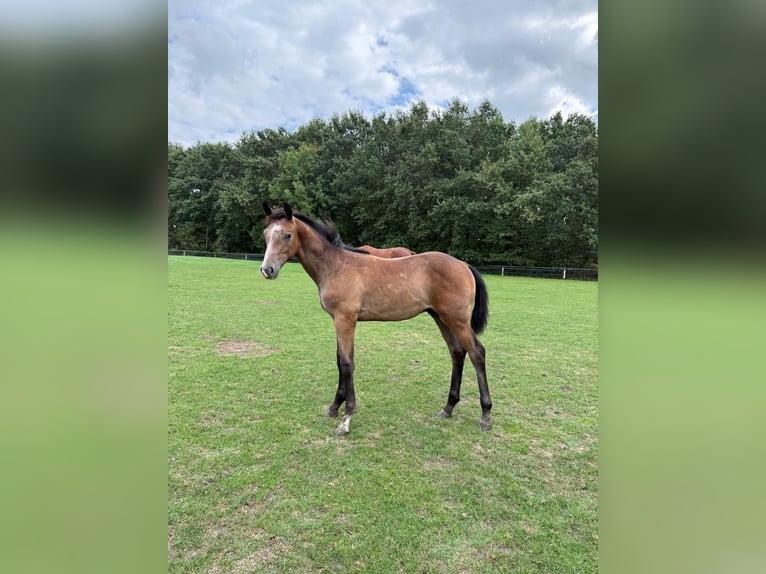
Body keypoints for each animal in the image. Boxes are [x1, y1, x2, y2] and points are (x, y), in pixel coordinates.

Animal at [260, 202, 492, 435]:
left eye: (288, 235)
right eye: (266, 234)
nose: (267, 270)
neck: (336, 266)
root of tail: (464, 265)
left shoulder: (345, 319)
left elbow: (347, 363)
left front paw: (346, 419)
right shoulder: (337, 320)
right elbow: (339, 360)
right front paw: (334, 407)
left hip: (457, 320)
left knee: (477, 353)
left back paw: (485, 415)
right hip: (441, 318)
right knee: (457, 352)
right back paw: (448, 407)